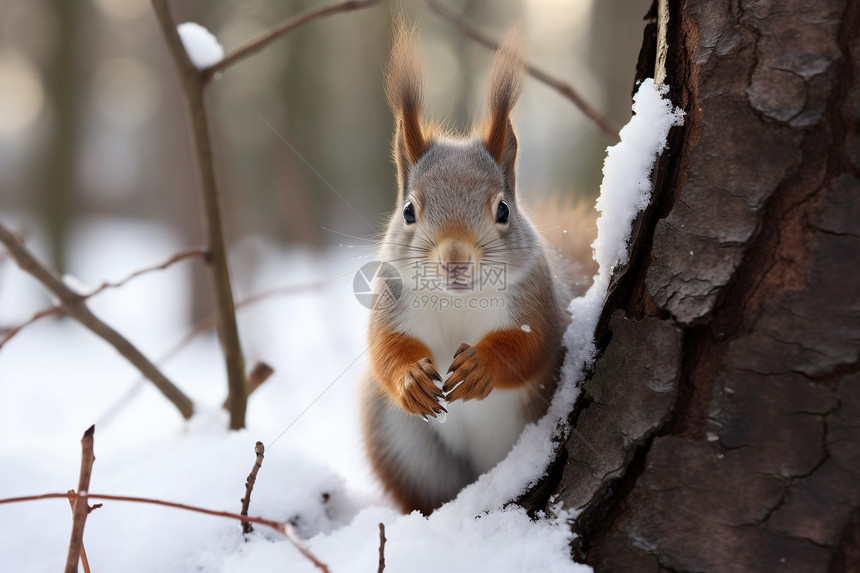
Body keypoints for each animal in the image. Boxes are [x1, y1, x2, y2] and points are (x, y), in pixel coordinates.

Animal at [360, 25, 596, 512]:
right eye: (409, 212)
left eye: (503, 210)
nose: (455, 261)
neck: (457, 302)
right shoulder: (389, 299)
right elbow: (383, 348)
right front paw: (410, 379)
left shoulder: (539, 300)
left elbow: (534, 345)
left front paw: (481, 366)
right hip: (398, 442)